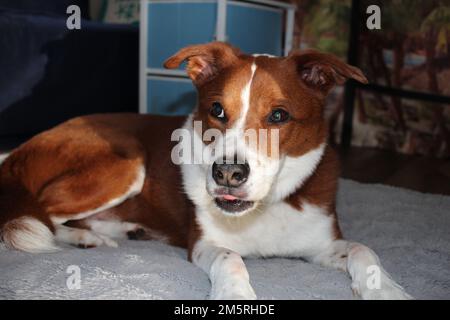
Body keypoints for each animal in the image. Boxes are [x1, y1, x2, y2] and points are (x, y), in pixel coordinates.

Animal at [0, 42, 412, 300]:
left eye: (279, 116)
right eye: (216, 110)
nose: (227, 173)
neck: (262, 209)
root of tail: (19, 150)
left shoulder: (321, 243)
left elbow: (364, 250)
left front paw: (387, 289)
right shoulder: (204, 242)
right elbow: (231, 259)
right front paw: (235, 293)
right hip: (126, 162)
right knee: (37, 214)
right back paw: (84, 237)